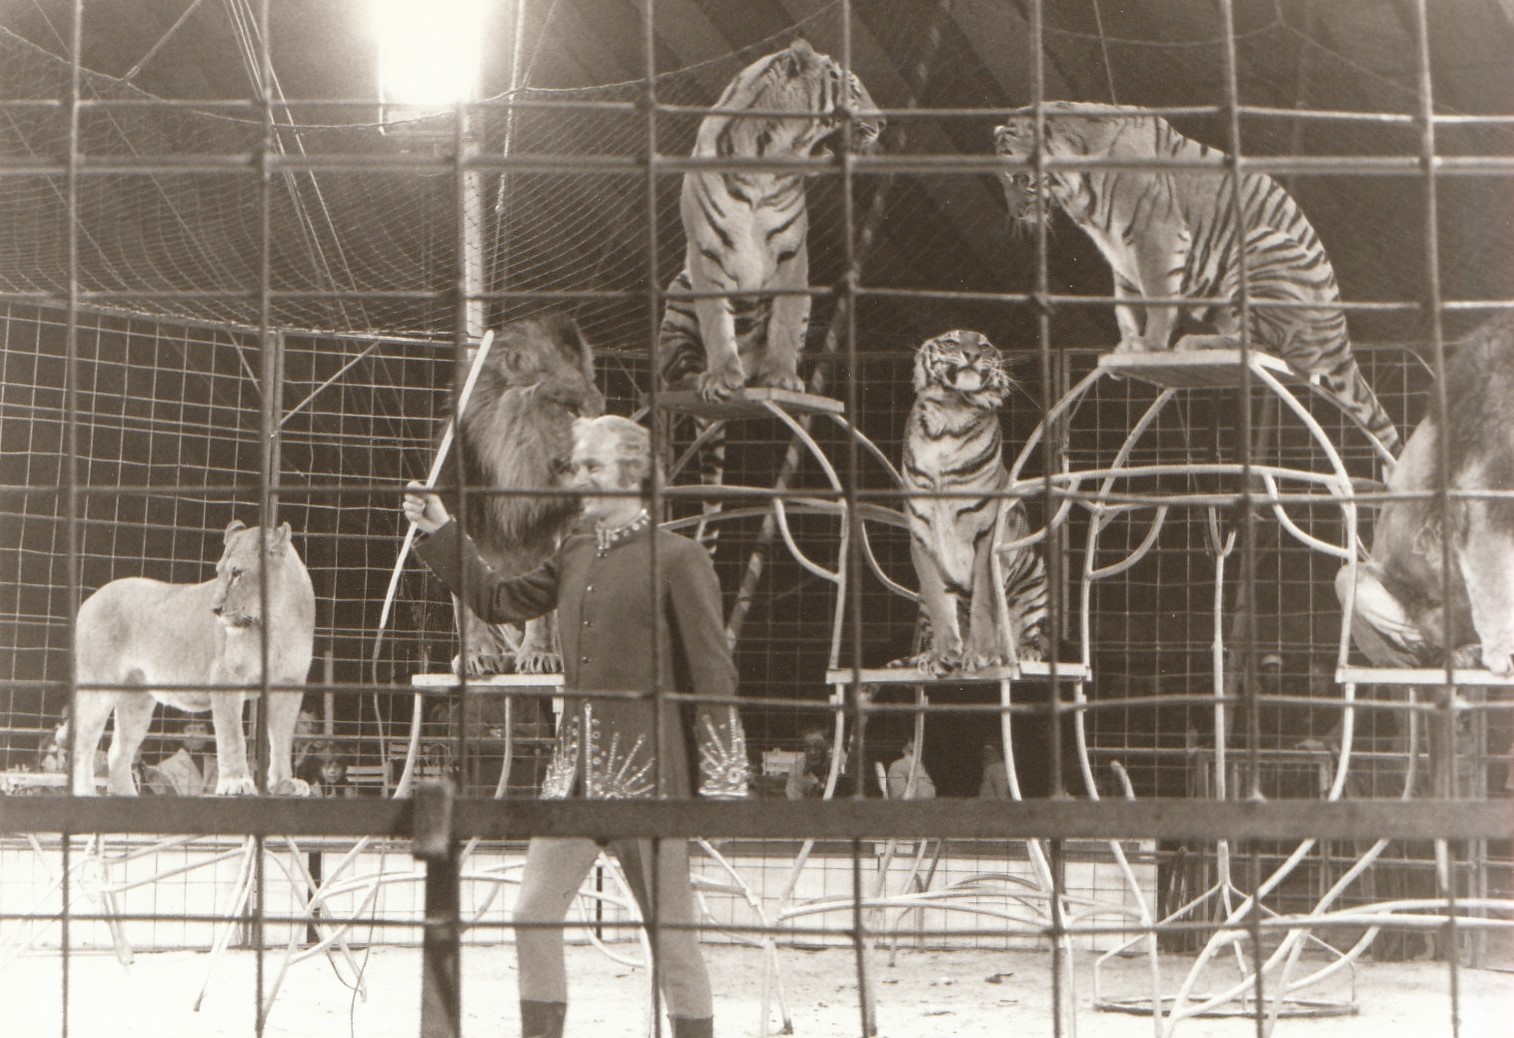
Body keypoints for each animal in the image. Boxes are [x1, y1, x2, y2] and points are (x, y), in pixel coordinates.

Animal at [70, 520, 315, 796]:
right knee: (82, 745)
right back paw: (86, 793)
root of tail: (91, 598)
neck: (276, 620)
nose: (215, 609)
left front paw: (285, 784)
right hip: (97, 687)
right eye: (219, 572)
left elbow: (282, 737)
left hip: (137, 699)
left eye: (237, 573)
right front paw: (236, 782)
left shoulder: (289, 682)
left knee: (118, 754)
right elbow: (232, 736)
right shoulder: (226, 677)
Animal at [445, 313, 604, 675]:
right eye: (569, 408)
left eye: (598, 410)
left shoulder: (548, 531)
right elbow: (468, 608)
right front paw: (475, 656)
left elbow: (541, 611)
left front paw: (541, 655)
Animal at [891, 330, 1049, 677]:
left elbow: (983, 602)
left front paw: (982, 655)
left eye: (985, 346)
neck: (950, 416)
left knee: (1031, 634)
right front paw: (942, 655)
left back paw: (1020, 653)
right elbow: (940, 604)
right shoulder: (922, 538)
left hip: (1035, 583)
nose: (972, 354)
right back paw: (928, 655)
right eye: (951, 341)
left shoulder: (988, 537)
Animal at [993, 101, 1400, 457]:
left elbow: (1157, 300)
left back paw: (1196, 343)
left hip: (1260, 247)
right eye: (1004, 180)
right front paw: (1127, 347)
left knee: (1265, 345)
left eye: (1021, 179)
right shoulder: (1120, 257)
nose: (1015, 216)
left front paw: (1150, 347)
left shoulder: (1157, 236)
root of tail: (1340, 339)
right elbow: (1125, 306)